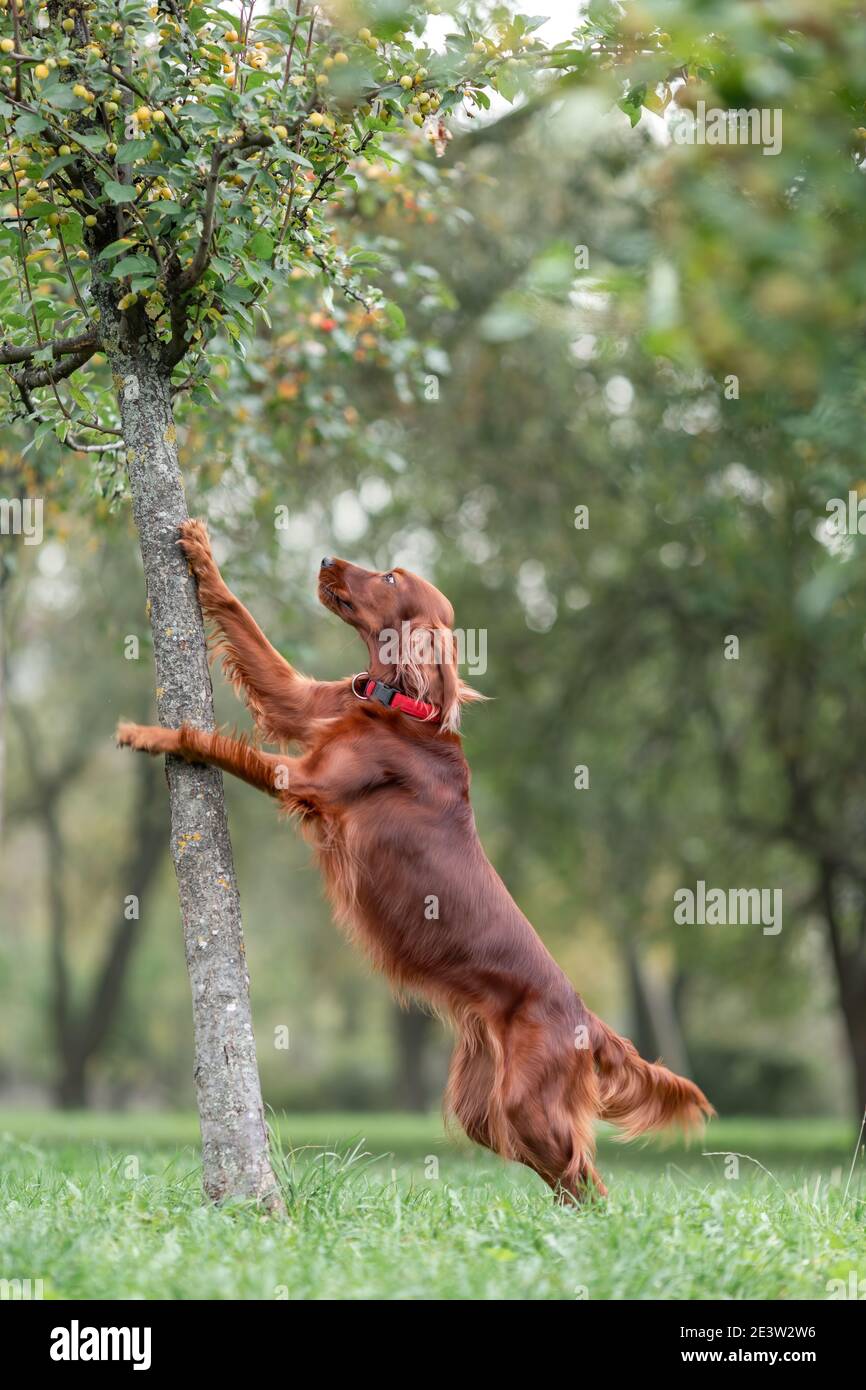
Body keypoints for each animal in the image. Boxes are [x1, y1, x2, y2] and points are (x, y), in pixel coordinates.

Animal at [118, 525, 717, 1200]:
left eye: (389, 579)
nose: (325, 557)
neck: (400, 701)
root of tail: (587, 1018)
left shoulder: (305, 778)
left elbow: (207, 740)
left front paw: (148, 734)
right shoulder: (301, 701)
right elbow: (247, 626)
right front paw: (200, 550)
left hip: (529, 1105)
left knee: (587, 1180)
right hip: (486, 1109)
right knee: (560, 1173)